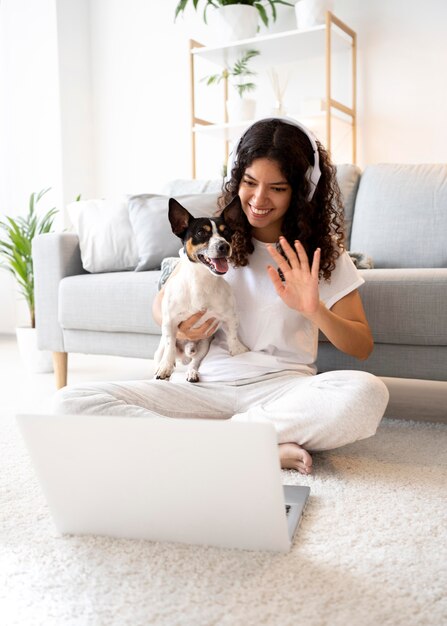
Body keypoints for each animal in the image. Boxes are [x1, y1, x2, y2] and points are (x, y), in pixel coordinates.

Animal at [155, 196, 250, 380]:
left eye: (227, 232)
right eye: (200, 233)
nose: (224, 246)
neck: (202, 281)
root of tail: (185, 351)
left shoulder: (230, 317)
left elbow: (233, 335)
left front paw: (237, 350)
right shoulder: (169, 322)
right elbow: (170, 345)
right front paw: (166, 366)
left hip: (204, 346)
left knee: (194, 362)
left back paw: (192, 373)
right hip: (159, 350)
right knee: (164, 353)